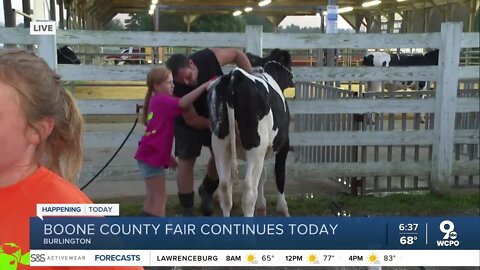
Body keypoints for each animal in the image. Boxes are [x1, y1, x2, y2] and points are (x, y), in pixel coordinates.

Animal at [209, 49, 294, 217]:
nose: (293, 80)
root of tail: (235, 75)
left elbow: (263, 174)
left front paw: (262, 206)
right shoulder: (283, 144)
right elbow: (279, 174)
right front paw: (283, 208)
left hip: (220, 145)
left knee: (225, 189)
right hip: (255, 147)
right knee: (248, 192)